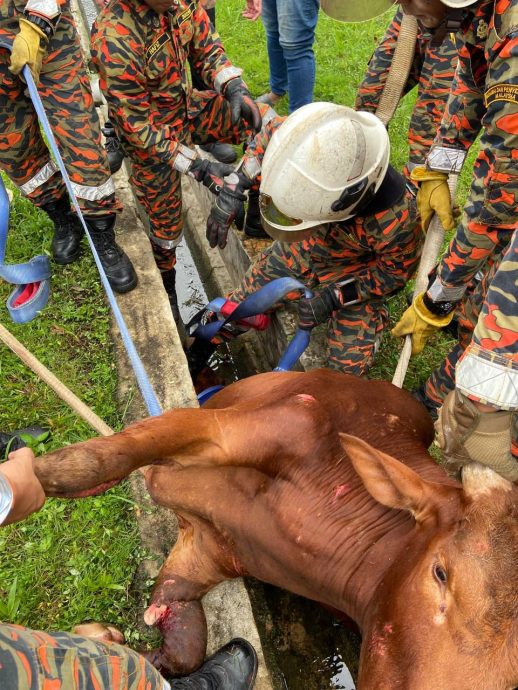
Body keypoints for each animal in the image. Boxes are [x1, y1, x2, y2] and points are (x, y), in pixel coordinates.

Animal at [34, 370, 518, 688]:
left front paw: (105, 642)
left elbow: (180, 649)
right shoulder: (291, 419)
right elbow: (114, 453)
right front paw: (42, 473)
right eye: (440, 573)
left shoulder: (205, 553)